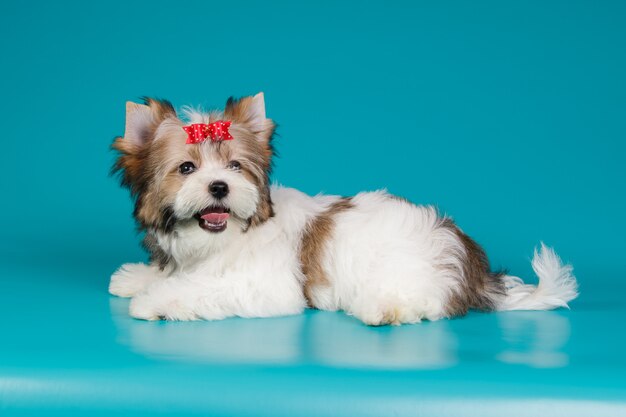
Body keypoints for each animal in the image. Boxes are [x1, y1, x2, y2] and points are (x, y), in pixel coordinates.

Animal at [109, 92, 576, 324]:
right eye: (186, 168)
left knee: (423, 303)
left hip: (406, 272)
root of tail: (468, 259)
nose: (220, 186)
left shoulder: (263, 285)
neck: (224, 238)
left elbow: (201, 289)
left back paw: (384, 311)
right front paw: (137, 277)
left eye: (235, 166)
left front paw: (155, 299)